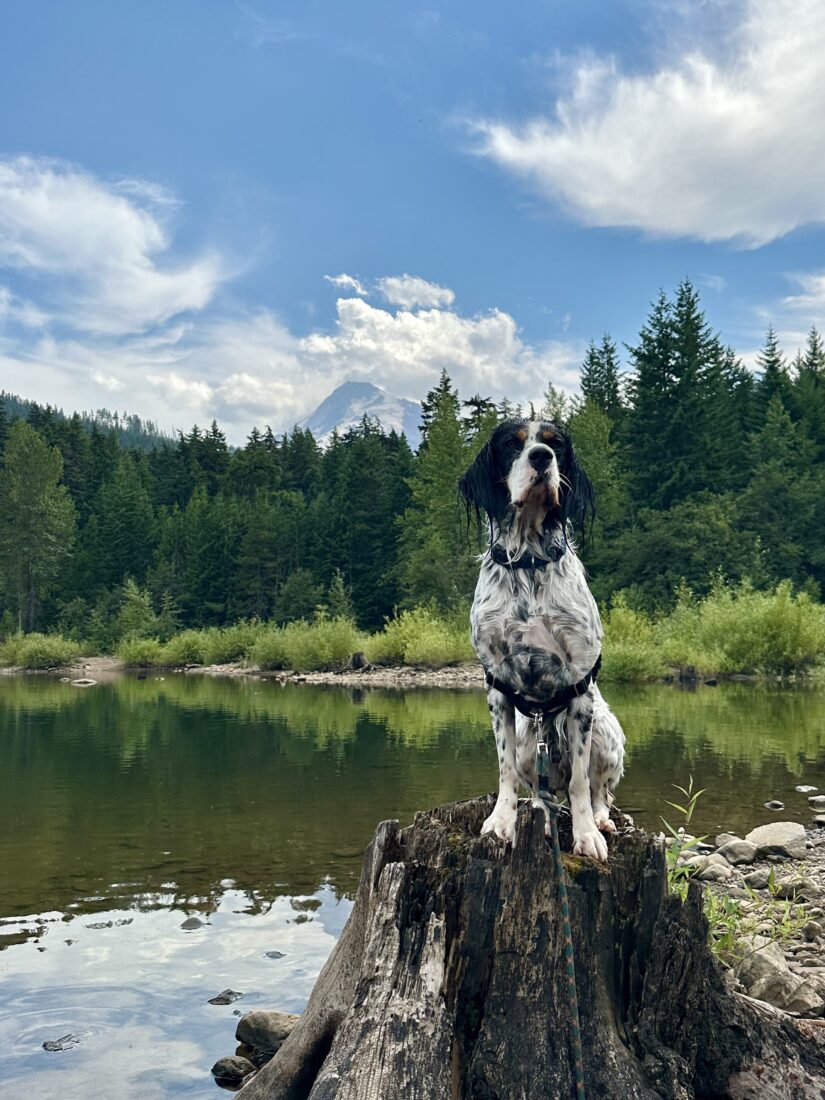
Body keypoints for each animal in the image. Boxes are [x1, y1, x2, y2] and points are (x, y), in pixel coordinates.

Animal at [459, 420, 624, 858]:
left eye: (556, 445)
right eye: (511, 444)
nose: (541, 457)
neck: (530, 562)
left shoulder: (580, 688)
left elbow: (581, 781)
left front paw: (586, 835)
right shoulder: (497, 685)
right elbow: (505, 771)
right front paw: (501, 822)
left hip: (606, 732)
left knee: (599, 790)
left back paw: (600, 819)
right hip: (529, 740)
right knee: (539, 790)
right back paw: (543, 816)